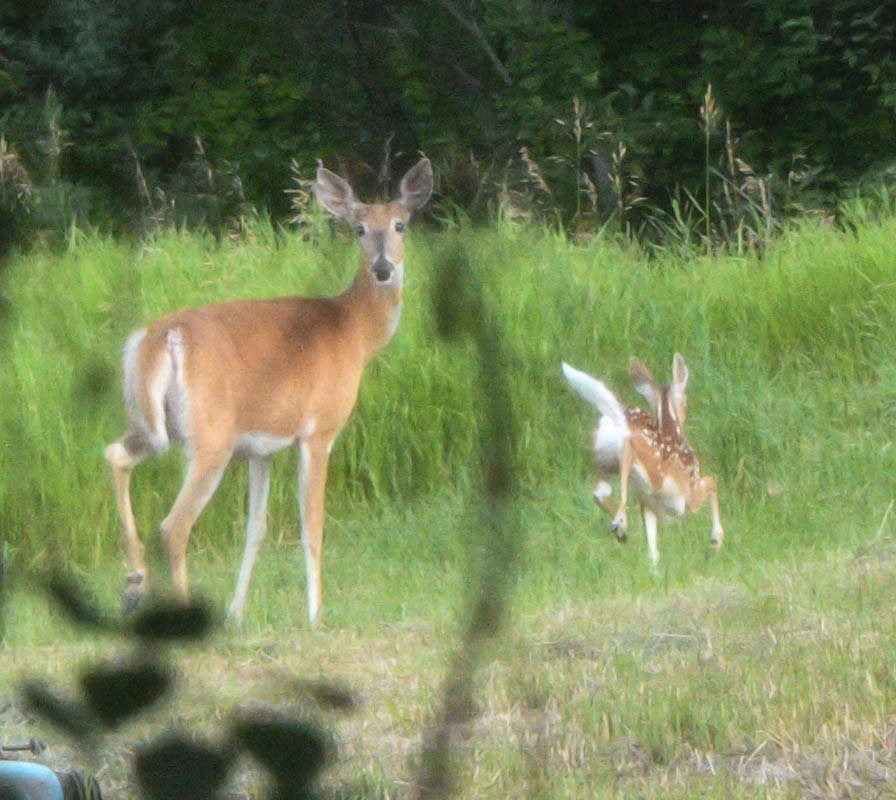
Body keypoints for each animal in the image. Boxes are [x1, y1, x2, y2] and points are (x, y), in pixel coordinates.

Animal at [104, 157, 433, 625]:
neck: (354, 333)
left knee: (116, 455)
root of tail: (159, 338)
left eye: (400, 225)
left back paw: (133, 586)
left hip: (152, 423)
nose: (383, 268)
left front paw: (236, 613)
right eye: (358, 229)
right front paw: (315, 614)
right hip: (210, 436)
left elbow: (255, 528)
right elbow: (311, 523)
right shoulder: (318, 431)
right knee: (174, 526)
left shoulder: (261, 448)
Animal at [561, 354, 723, 567]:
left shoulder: (649, 505)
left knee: (600, 491)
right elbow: (712, 482)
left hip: (603, 459)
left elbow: (653, 551)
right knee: (626, 459)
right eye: (685, 399)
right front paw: (715, 542)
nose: (685, 413)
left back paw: (620, 528)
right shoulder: (690, 495)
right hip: (651, 470)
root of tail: (619, 419)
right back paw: (620, 522)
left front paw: (654, 569)